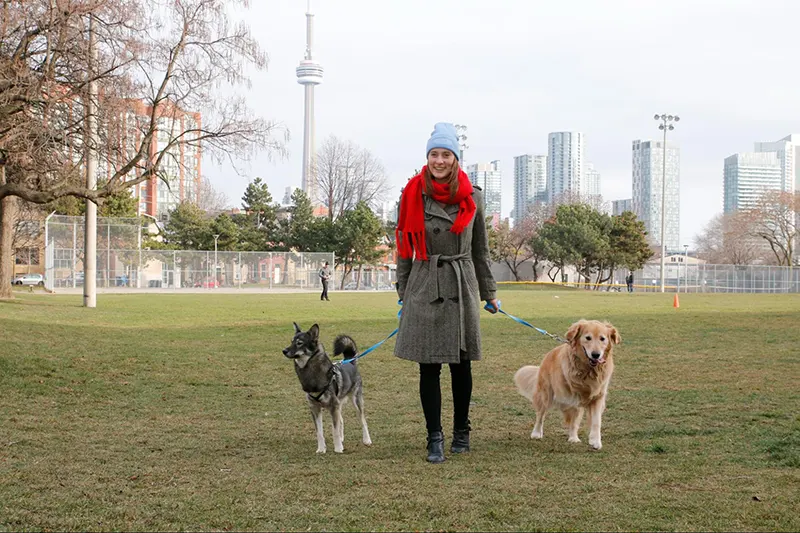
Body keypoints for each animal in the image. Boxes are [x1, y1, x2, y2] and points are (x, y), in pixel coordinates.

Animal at [282, 320, 374, 454]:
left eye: (299, 343)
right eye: (291, 341)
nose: (284, 350)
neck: (311, 373)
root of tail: (350, 361)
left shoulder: (333, 406)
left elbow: (334, 430)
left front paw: (338, 449)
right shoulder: (315, 408)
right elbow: (319, 432)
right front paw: (321, 449)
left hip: (356, 401)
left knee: (363, 421)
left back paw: (366, 440)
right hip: (339, 404)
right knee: (341, 420)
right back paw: (342, 439)